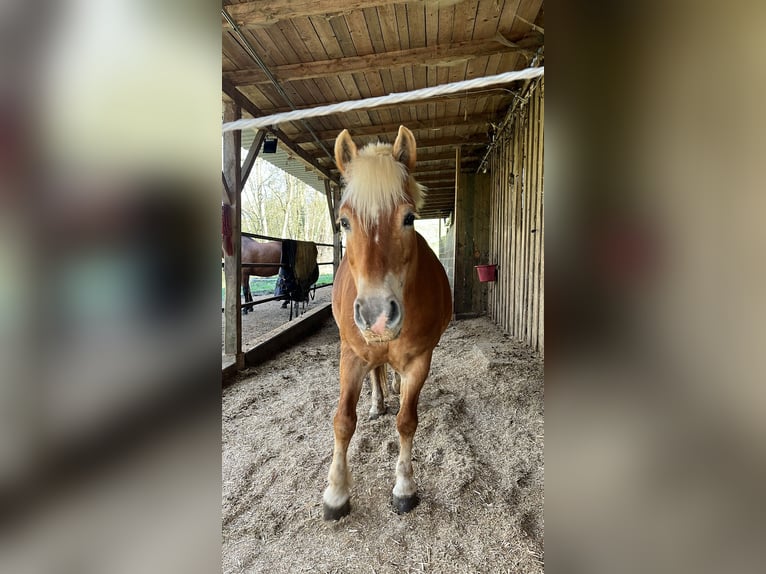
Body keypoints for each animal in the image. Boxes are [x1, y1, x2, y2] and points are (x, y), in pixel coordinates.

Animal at [322, 126, 452, 520]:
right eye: (344, 221)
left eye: (409, 218)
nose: (377, 317)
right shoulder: (351, 355)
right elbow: (343, 421)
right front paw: (336, 493)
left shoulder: (419, 361)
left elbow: (407, 421)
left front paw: (405, 487)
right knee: (376, 372)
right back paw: (378, 401)